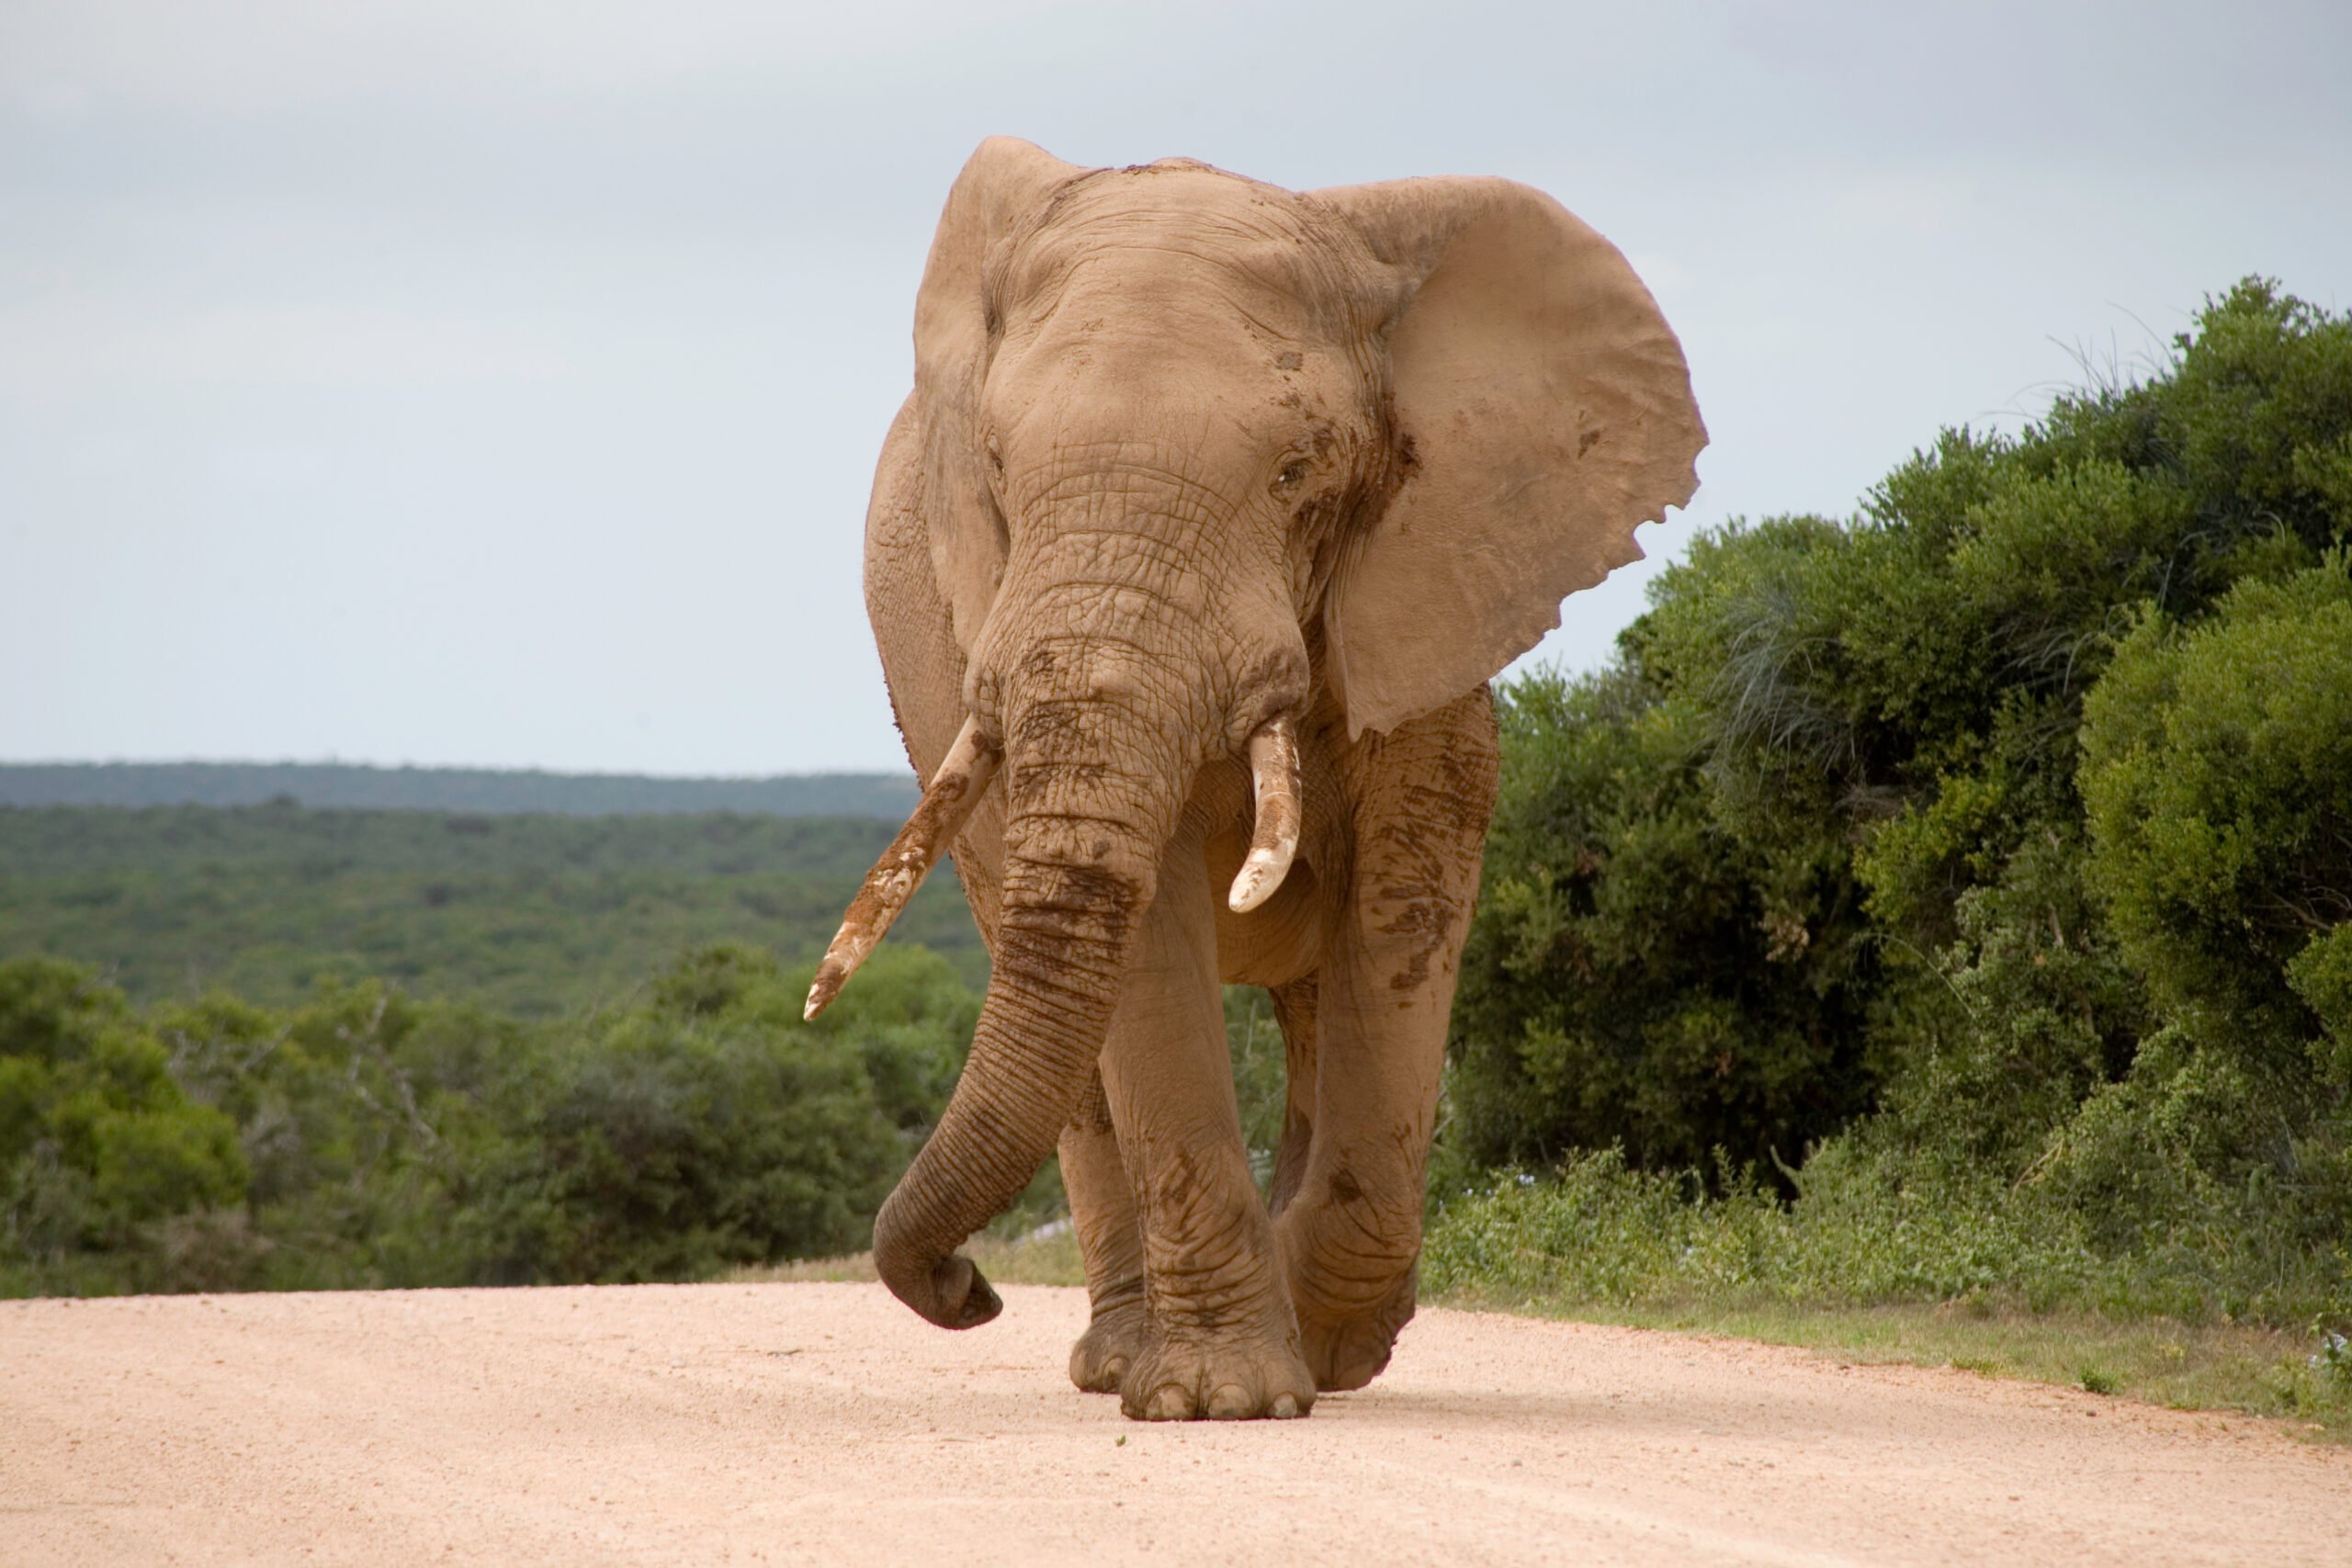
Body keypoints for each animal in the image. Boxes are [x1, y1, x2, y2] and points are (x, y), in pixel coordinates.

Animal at [808, 141, 1712, 1419]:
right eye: (994, 467)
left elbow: (1403, 918)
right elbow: (1148, 936)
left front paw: (1321, 1347)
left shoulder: (1432, 595)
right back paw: (1118, 1360)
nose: (968, 1289)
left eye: (1296, 473)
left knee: (1312, 1006)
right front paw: (1217, 1398)